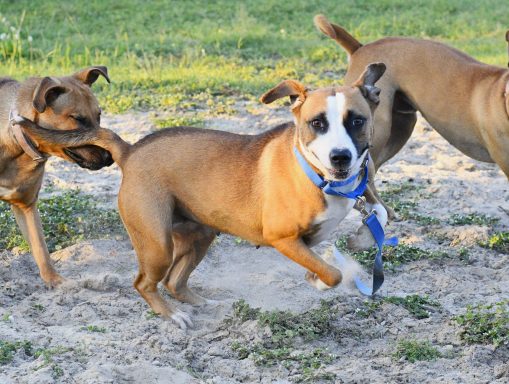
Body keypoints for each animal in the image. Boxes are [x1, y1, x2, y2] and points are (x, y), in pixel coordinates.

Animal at [17, 62, 386, 328]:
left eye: (357, 121)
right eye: (317, 123)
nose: (341, 157)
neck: (319, 176)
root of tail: (131, 151)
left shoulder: (313, 237)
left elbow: (375, 216)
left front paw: (333, 261)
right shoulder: (282, 239)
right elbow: (333, 273)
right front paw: (322, 281)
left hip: (200, 235)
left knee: (174, 282)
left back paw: (202, 303)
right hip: (157, 244)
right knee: (145, 283)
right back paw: (171, 315)